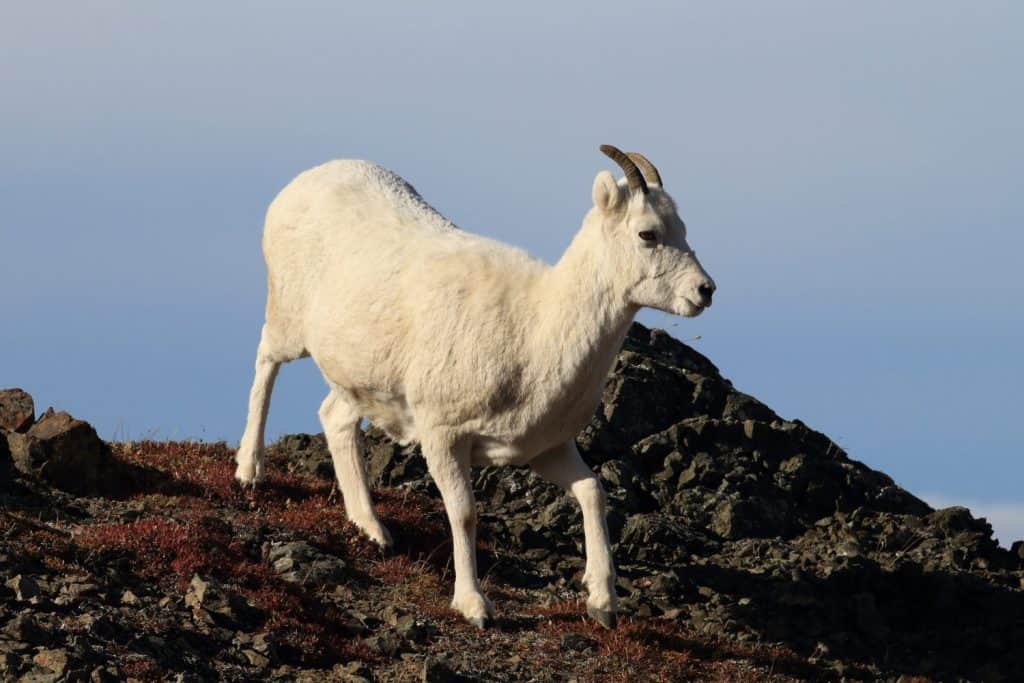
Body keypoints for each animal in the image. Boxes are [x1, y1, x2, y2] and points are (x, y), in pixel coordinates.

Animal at [235, 145, 716, 629]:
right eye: (647, 233)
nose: (705, 291)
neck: (534, 330)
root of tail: (304, 181)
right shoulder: (443, 437)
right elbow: (465, 514)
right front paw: (474, 607)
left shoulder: (545, 450)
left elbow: (593, 492)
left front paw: (602, 604)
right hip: (287, 324)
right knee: (264, 362)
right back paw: (249, 471)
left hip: (362, 383)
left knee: (334, 419)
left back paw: (373, 530)